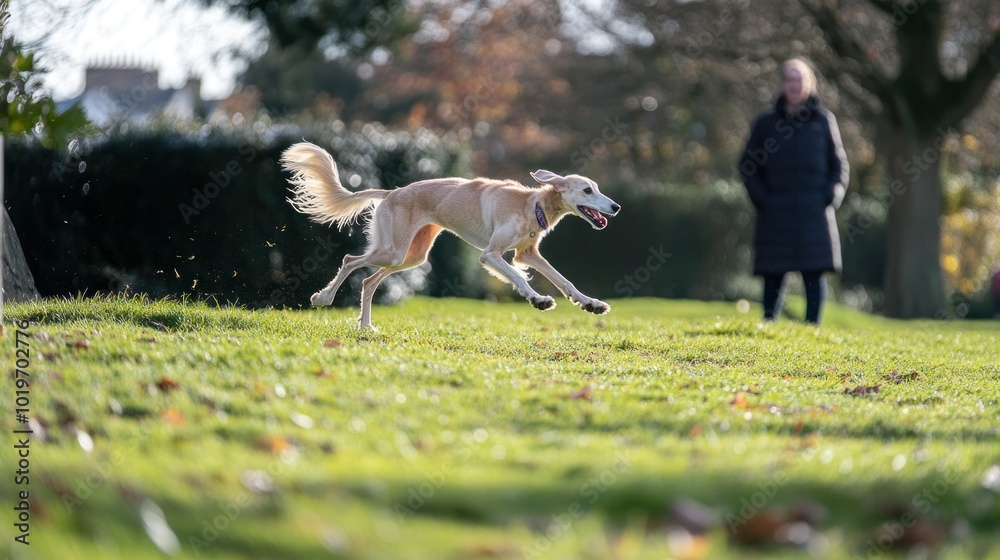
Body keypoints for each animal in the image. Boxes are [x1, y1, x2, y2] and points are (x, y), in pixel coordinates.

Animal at [282, 140, 620, 330]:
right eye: (587, 190)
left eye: (597, 188)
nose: (616, 206)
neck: (531, 204)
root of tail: (392, 192)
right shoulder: (490, 255)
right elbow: (519, 278)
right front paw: (538, 299)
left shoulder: (528, 254)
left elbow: (565, 281)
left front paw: (591, 304)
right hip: (395, 250)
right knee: (351, 259)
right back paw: (323, 298)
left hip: (410, 256)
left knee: (368, 281)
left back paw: (366, 327)